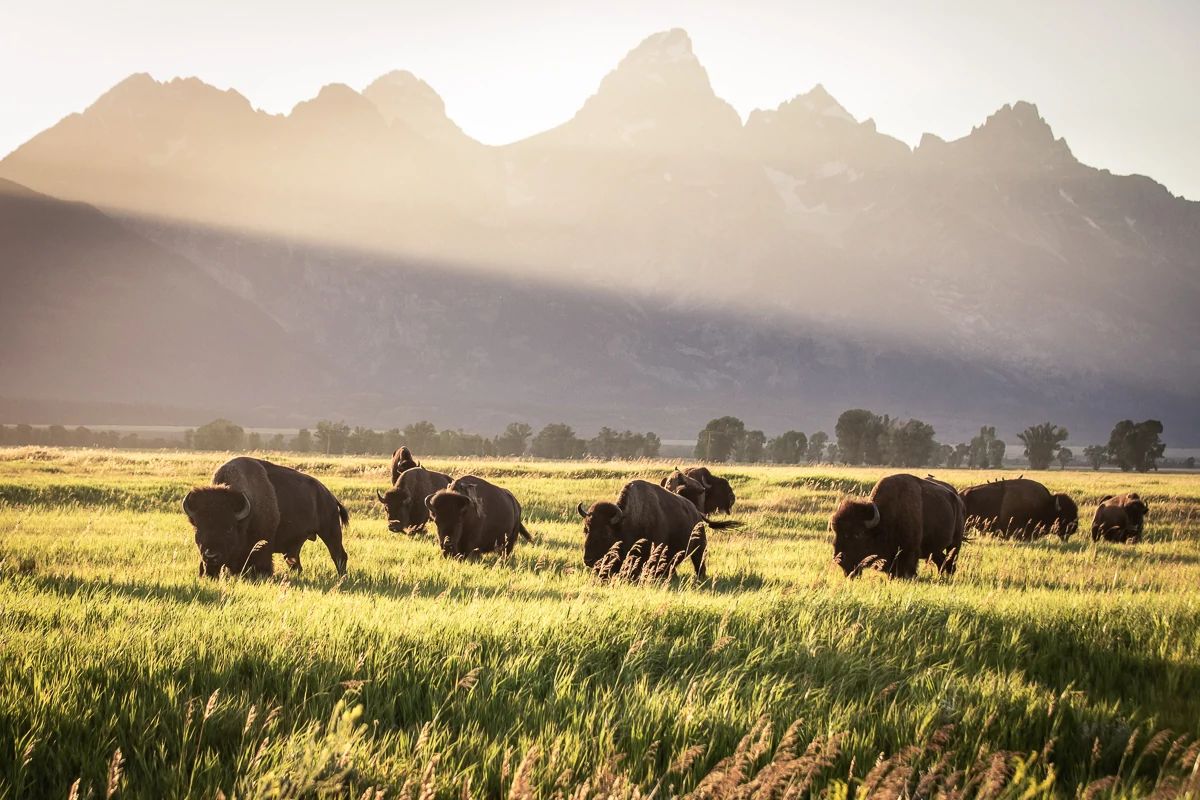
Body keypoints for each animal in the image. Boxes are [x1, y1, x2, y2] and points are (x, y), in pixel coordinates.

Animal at [182, 455, 350, 582]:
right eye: (197, 528)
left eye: (229, 528)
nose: (211, 556)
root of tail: (329, 496)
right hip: (297, 545)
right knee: (295, 562)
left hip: (330, 531)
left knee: (338, 555)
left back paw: (342, 578)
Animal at [573, 479, 734, 578]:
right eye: (586, 530)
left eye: (605, 533)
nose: (588, 560)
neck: (626, 521)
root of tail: (697, 512)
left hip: (699, 549)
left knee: (699, 564)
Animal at [830, 472, 960, 578]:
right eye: (836, 532)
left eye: (858, 534)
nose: (840, 559)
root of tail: (957, 498)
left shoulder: (909, 552)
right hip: (934, 550)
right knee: (942, 561)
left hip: (955, 544)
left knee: (951, 560)